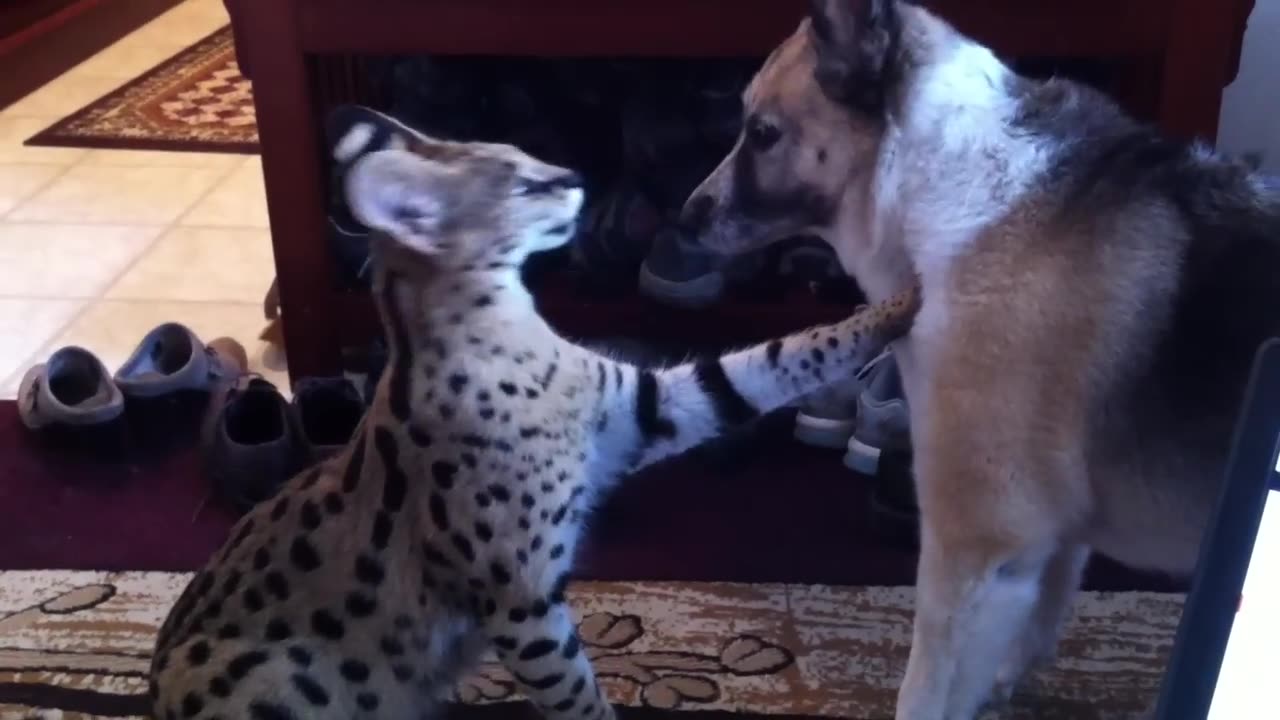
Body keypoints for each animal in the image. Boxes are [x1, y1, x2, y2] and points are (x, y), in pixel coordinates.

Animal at [686, 1, 1280, 717]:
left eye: (764, 133)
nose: (683, 220)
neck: (949, 182)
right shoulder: (1044, 544)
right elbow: (1037, 618)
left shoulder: (974, 550)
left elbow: (927, 688)